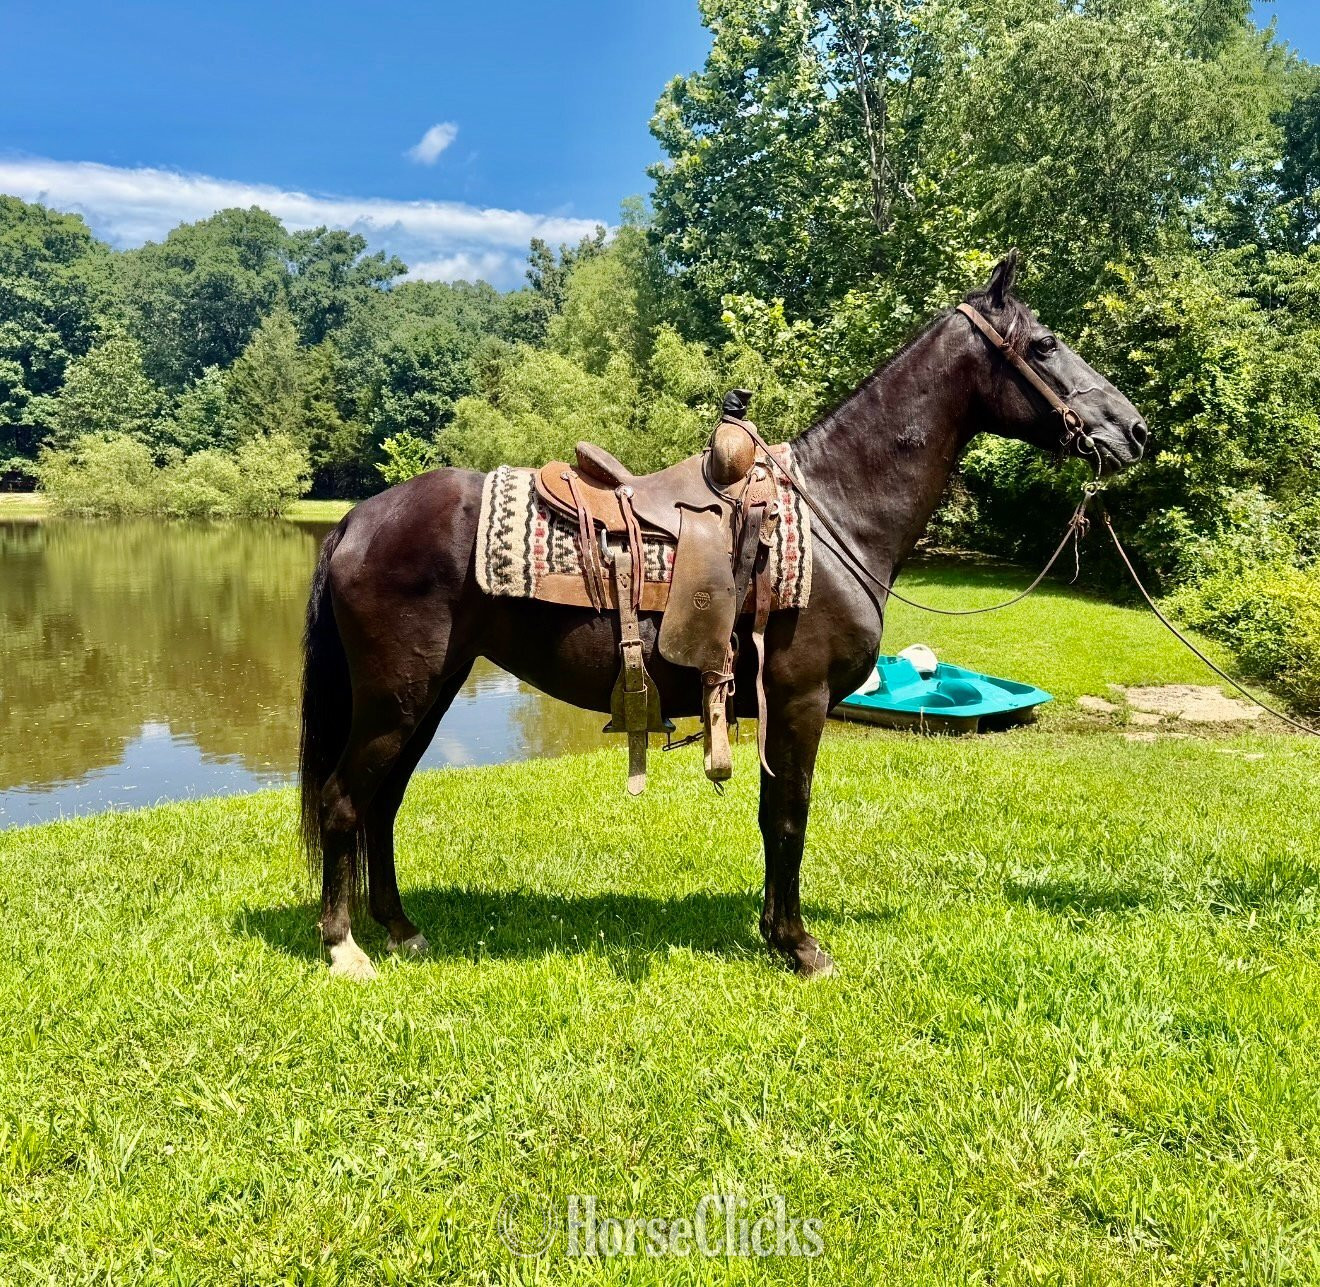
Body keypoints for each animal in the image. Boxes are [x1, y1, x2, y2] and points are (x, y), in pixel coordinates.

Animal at [299, 252, 1147, 980]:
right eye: (1045, 344)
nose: (1134, 429)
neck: (834, 508)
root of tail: (356, 518)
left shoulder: (782, 705)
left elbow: (775, 815)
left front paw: (776, 933)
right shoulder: (800, 700)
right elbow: (790, 816)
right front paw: (800, 944)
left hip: (427, 694)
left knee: (383, 801)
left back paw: (400, 928)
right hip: (396, 699)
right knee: (345, 800)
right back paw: (344, 947)